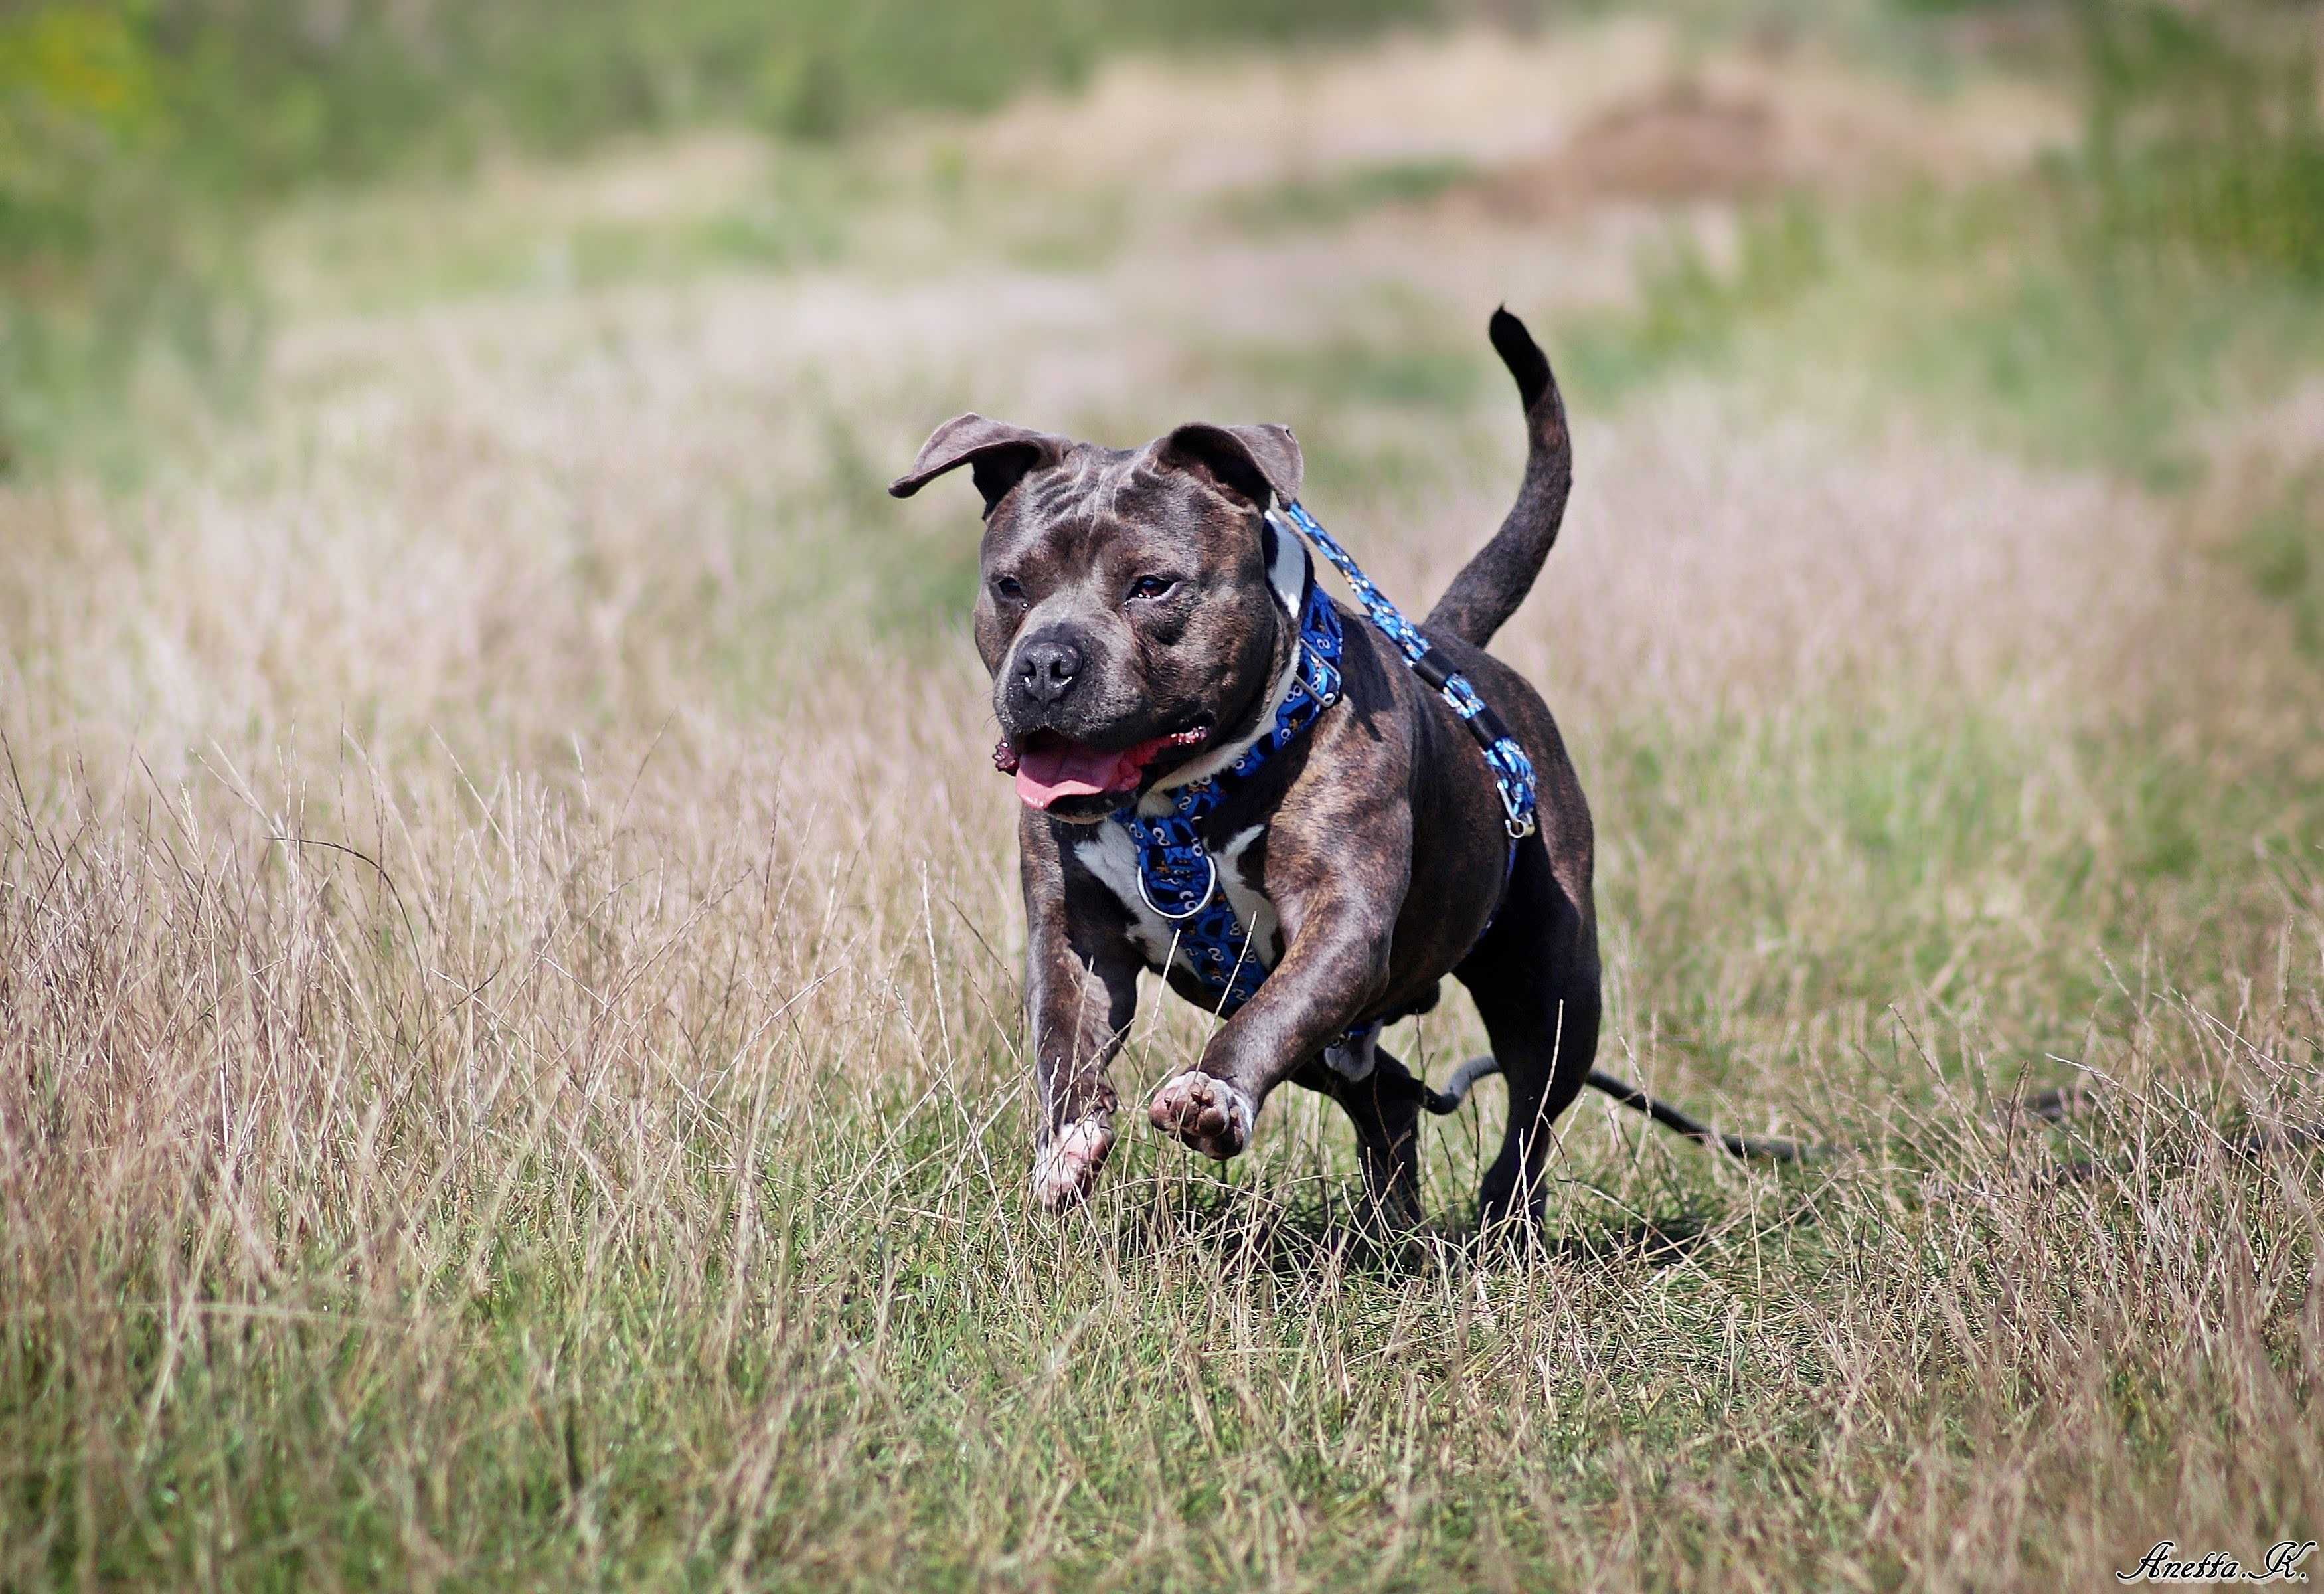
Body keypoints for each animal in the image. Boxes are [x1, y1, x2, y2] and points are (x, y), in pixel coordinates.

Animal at [897, 315, 1608, 1236]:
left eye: (1152, 585)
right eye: (1010, 585)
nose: (1047, 664)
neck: (1179, 800)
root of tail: (1449, 646)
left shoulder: (1342, 923)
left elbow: (1273, 1016)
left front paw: (1213, 1093)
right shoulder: (1072, 936)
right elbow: (1062, 1037)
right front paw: (1067, 1143)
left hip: (1553, 989)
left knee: (1531, 1108)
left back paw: (1500, 1223)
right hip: (1336, 1036)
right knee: (1388, 1097)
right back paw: (1393, 1234)